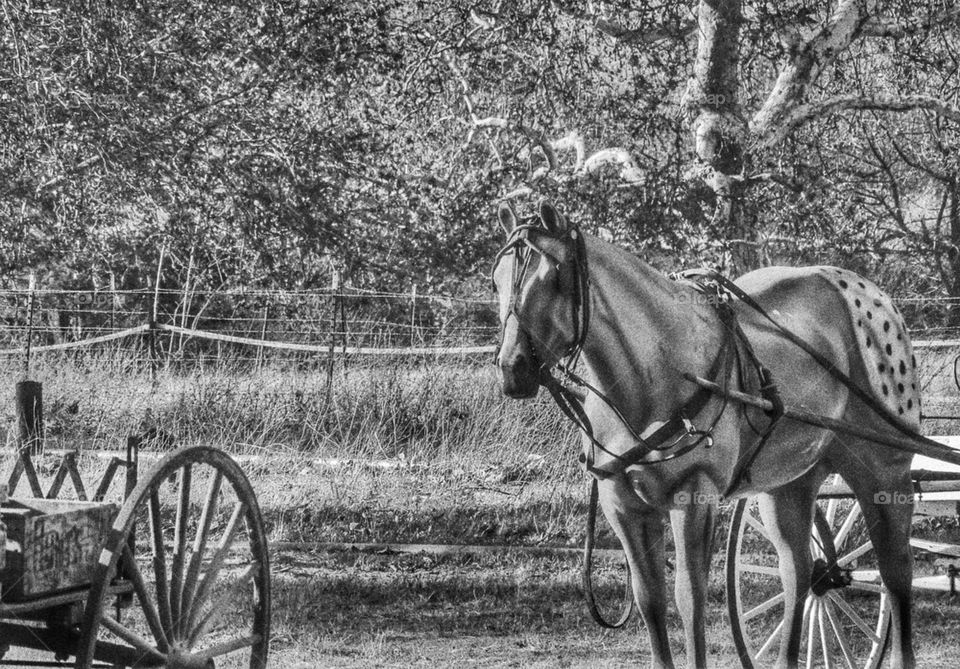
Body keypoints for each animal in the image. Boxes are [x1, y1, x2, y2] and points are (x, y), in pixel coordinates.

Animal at [492, 198, 920, 668]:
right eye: (496, 280)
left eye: (553, 278)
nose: (512, 369)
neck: (654, 371)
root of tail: (872, 295)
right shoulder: (622, 505)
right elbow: (650, 600)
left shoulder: (695, 496)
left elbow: (690, 600)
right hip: (789, 485)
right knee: (798, 572)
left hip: (883, 474)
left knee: (896, 571)